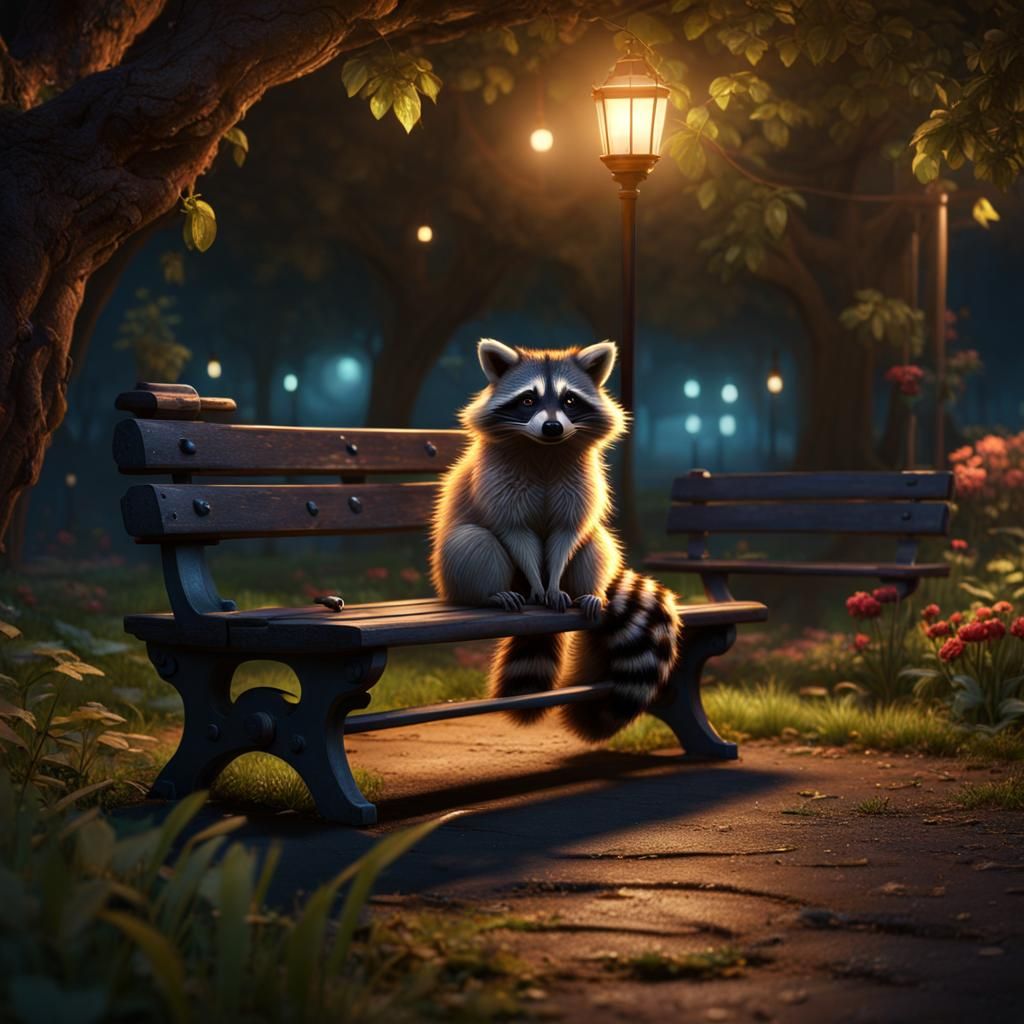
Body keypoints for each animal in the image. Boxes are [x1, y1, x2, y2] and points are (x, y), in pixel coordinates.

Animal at [429, 338, 680, 741]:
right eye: (528, 399)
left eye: (570, 400)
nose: (551, 427)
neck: (545, 448)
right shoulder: (498, 479)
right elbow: (515, 531)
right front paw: (537, 583)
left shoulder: (581, 478)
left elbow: (568, 533)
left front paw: (554, 583)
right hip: (452, 573)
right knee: (473, 541)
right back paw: (489, 594)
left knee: (597, 541)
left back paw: (589, 591)